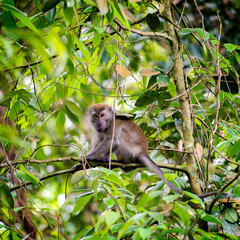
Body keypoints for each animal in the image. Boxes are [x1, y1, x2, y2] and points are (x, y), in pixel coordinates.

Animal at [74, 103, 223, 199]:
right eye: (95, 116)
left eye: (103, 115)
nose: (99, 122)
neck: (108, 123)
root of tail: (143, 151)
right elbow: (98, 144)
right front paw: (83, 163)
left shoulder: (114, 125)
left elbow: (112, 141)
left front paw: (87, 158)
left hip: (130, 150)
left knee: (118, 140)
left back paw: (106, 159)